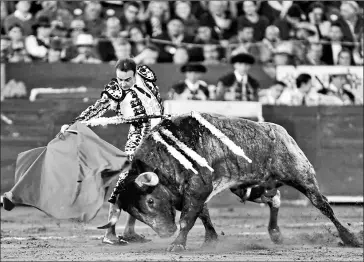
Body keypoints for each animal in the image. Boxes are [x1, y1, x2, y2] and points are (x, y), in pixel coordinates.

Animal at [97, 112, 362, 252]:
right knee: (274, 199)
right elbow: (202, 214)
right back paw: (275, 234)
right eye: (136, 213)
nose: (165, 232)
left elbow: (188, 219)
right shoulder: (196, 192)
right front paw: (210, 240)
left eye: (151, 201)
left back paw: (351, 238)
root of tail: (279, 131)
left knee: (322, 204)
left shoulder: (198, 187)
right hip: (249, 188)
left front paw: (177, 244)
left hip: (300, 175)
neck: (168, 157)